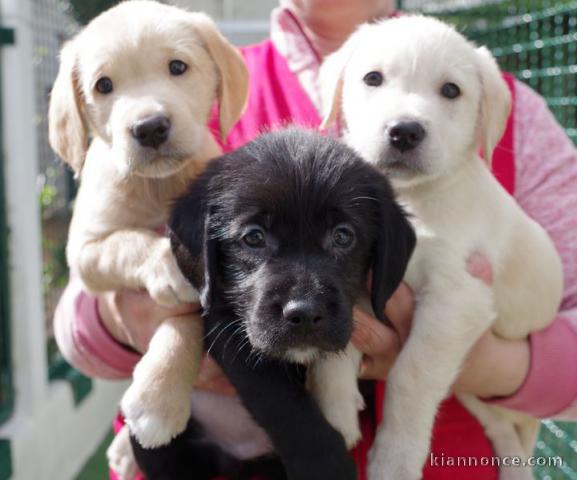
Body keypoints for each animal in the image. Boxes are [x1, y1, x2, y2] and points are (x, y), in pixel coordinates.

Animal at [49, 0, 245, 450]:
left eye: (177, 67)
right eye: (104, 86)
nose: (150, 127)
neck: (158, 186)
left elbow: (186, 323)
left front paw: (159, 397)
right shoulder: (84, 253)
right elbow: (129, 242)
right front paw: (168, 265)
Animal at [130, 129, 414, 480]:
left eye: (343, 236)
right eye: (254, 237)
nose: (304, 314)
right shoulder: (230, 329)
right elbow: (284, 407)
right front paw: (327, 467)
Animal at [316, 15, 564, 480]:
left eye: (451, 90)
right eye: (372, 78)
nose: (404, 131)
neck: (410, 200)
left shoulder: (458, 298)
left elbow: (411, 374)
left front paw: (394, 459)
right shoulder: (353, 271)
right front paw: (334, 410)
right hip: (476, 396)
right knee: (503, 434)